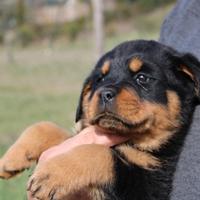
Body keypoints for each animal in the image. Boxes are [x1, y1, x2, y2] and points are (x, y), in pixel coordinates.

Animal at [0, 39, 200, 199]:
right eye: (100, 79)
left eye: (142, 78)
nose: (104, 93)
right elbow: (46, 127)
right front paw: (10, 159)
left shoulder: (152, 182)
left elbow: (100, 153)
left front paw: (49, 173)